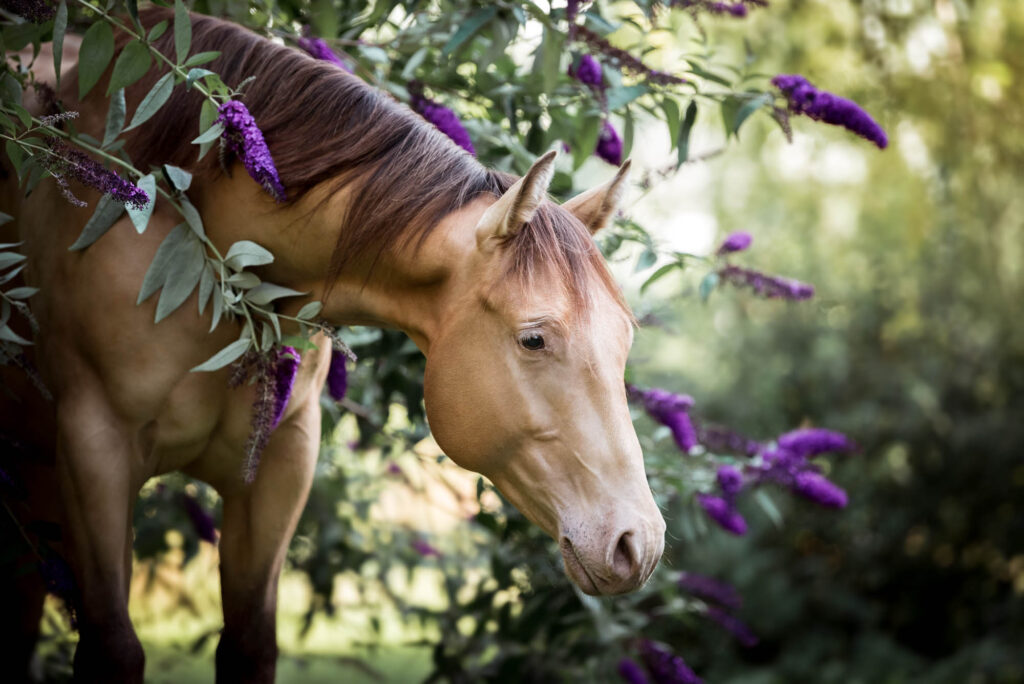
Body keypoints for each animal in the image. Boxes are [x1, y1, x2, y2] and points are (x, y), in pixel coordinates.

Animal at [0, 8, 665, 682]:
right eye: (534, 339)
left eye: (623, 341)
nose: (638, 543)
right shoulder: (95, 450)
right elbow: (114, 647)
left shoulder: (280, 463)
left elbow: (249, 643)